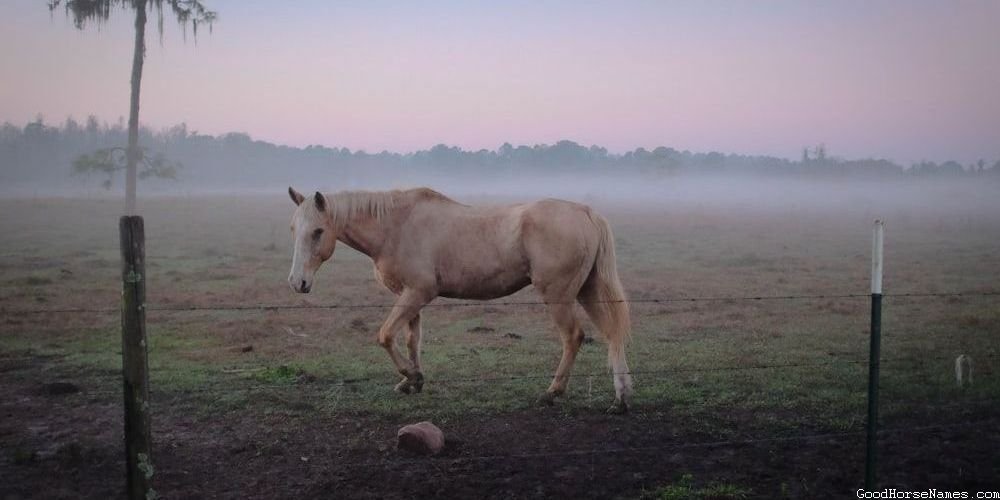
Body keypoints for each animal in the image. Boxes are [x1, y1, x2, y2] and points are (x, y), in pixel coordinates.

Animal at [290, 186, 632, 412]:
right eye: (294, 228)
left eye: (318, 231)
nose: (298, 282)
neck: (396, 226)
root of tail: (586, 212)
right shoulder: (410, 297)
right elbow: (412, 340)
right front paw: (413, 382)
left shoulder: (417, 293)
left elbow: (385, 336)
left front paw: (411, 376)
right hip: (588, 291)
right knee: (612, 334)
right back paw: (621, 396)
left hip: (559, 296)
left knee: (573, 337)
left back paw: (553, 392)